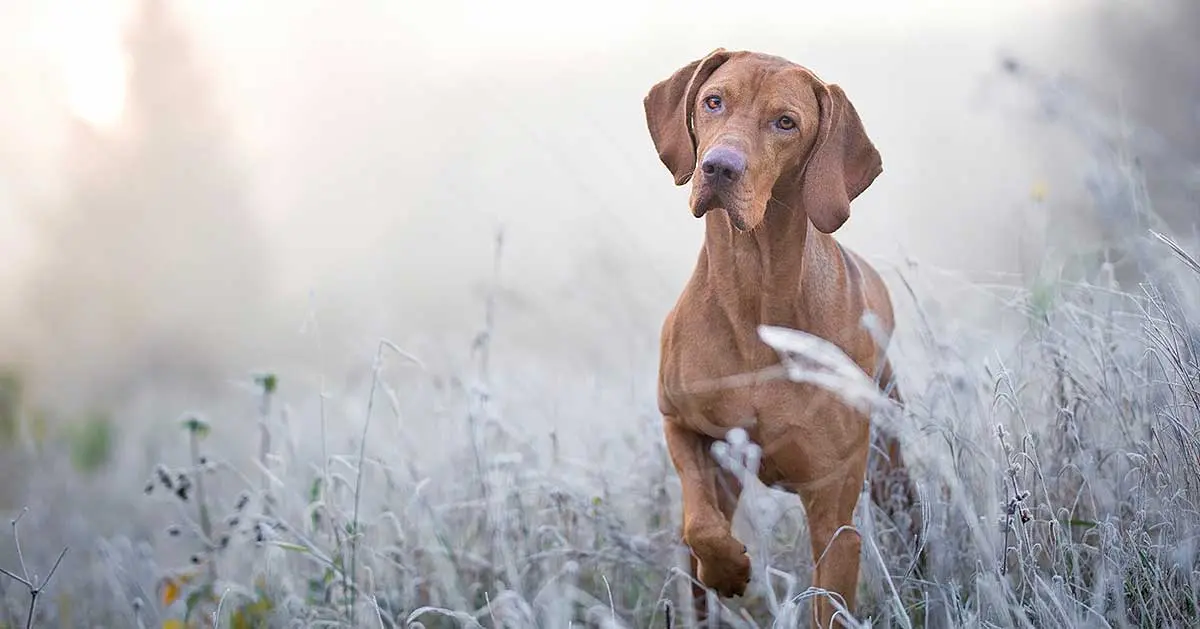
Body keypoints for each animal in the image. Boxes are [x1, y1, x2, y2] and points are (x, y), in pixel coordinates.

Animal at [648, 49, 916, 629]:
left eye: (785, 123)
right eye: (713, 101)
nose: (719, 167)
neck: (755, 292)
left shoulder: (834, 518)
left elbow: (829, 601)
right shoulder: (680, 423)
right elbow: (701, 525)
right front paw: (730, 569)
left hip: (890, 466)